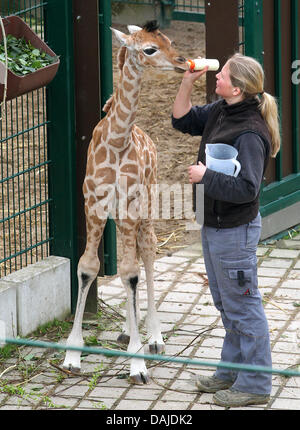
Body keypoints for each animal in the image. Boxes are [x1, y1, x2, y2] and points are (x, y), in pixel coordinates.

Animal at [62, 20, 186, 384]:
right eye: (149, 49)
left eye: (169, 40)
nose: (182, 61)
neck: (118, 139)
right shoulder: (93, 205)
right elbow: (89, 267)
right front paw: (72, 356)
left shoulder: (130, 206)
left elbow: (130, 271)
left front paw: (138, 362)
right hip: (119, 217)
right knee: (129, 265)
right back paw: (127, 330)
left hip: (146, 206)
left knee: (146, 253)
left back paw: (154, 337)